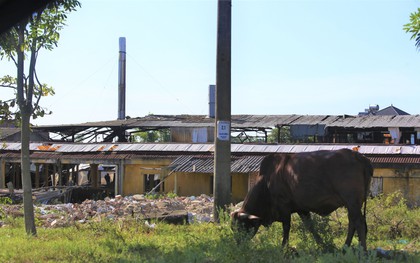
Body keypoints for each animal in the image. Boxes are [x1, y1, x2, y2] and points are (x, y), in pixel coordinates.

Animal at [231, 150, 372, 251]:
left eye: (241, 226)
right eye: (233, 227)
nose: (237, 244)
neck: (267, 181)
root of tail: (358, 156)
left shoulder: (284, 205)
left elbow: (286, 227)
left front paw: (283, 247)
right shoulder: (301, 209)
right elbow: (310, 227)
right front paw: (323, 245)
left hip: (352, 202)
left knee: (359, 223)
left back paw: (363, 251)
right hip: (352, 204)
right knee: (353, 223)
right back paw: (346, 247)